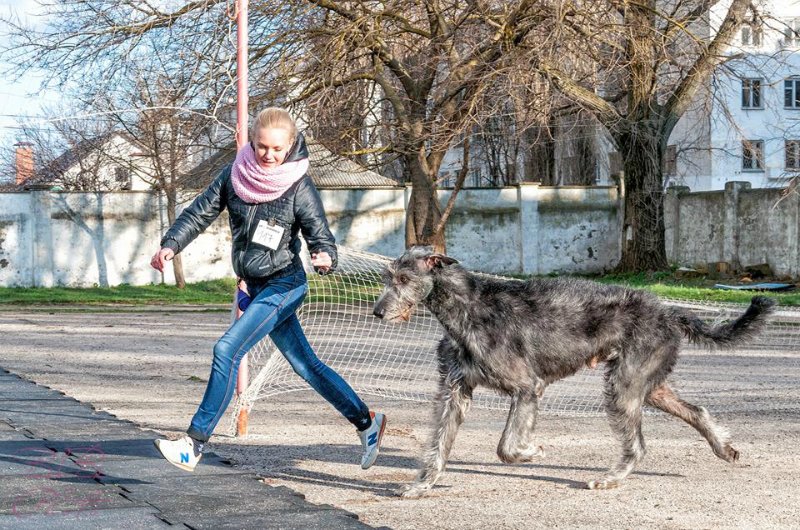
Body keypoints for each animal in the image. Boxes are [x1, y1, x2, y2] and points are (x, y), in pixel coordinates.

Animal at [374, 244, 776, 496]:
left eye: (404, 280)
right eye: (387, 277)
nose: (377, 312)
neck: (468, 308)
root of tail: (668, 312)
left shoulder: (527, 387)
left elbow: (506, 447)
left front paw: (532, 452)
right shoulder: (455, 389)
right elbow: (438, 443)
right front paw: (421, 485)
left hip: (624, 386)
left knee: (638, 444)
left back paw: (610, 479)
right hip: (648, 385)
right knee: (697, 410)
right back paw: (723, 448)